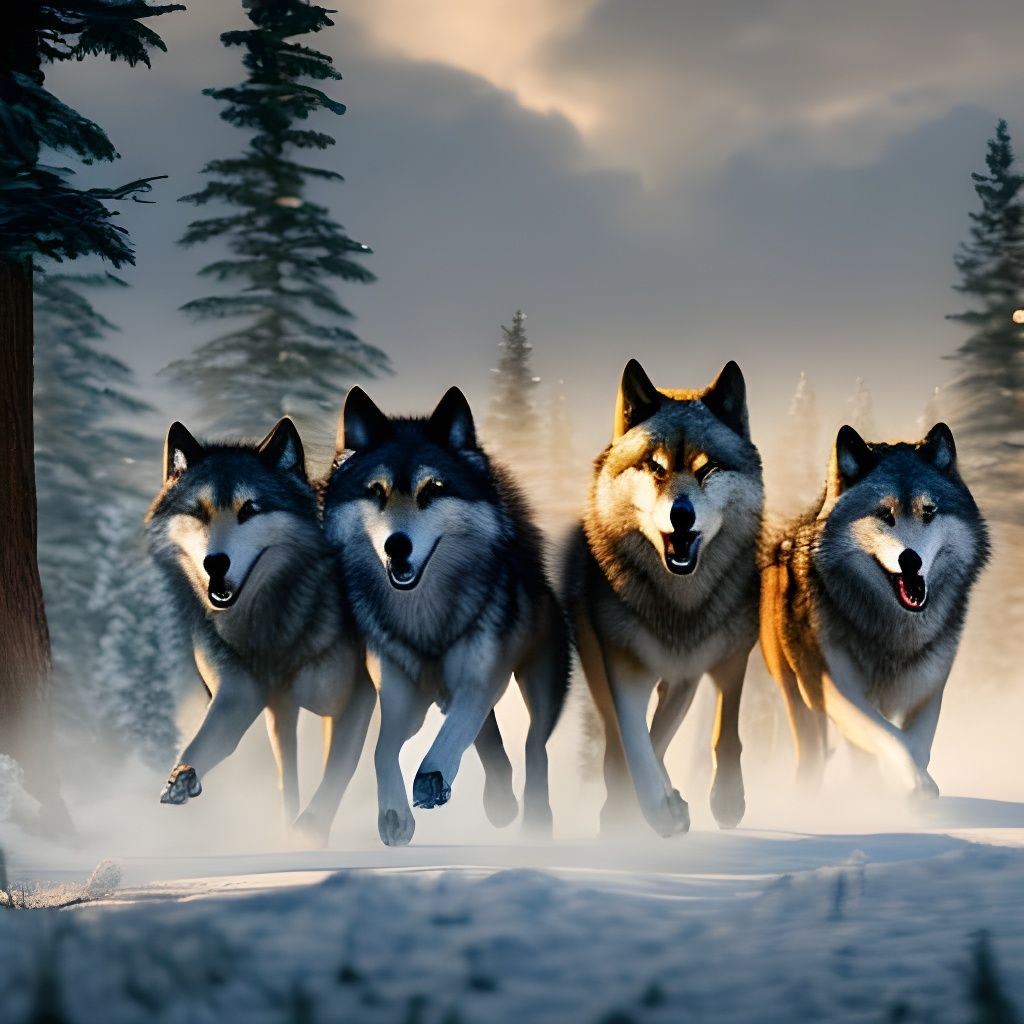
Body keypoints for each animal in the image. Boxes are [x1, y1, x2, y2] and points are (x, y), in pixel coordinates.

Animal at [145, 418, 376, 845]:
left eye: (249, 509)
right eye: (198, 512)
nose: (215, 563)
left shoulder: (351, 697)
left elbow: (339, 770)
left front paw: (311, 833)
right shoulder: (240, 690)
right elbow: (208, 742)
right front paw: (182, 778)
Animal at [322, 386, 570, 847]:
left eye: (432, 490)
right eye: (376, 492)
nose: (396, 546)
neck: (425, 617)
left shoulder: (478, 680)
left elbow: (457, 731)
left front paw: (431, 778)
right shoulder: (401, 695)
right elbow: (382, 750)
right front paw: (394, 815)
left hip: (539, 684)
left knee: (534, 744)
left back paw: (533, 819)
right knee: (493, 746)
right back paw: (501, 804)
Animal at [565, 359, 764, 837]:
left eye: (707, 469)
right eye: (655, 467)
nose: (681, 515)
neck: (676, 607)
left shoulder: (705, 665)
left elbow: (701, 734)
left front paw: (703, 803)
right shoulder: (623, 667)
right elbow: (636, 744)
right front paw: (650, 810)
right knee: (616, 738)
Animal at [760, 422, 989, 796]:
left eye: (929, 511)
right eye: (884, 513)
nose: (911, 560)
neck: (893, 628)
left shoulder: (929, 691)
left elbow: (915, 744)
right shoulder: (838, 691)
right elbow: (891, 737)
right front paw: (913, 786)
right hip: (802, 701)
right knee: (814, 757)